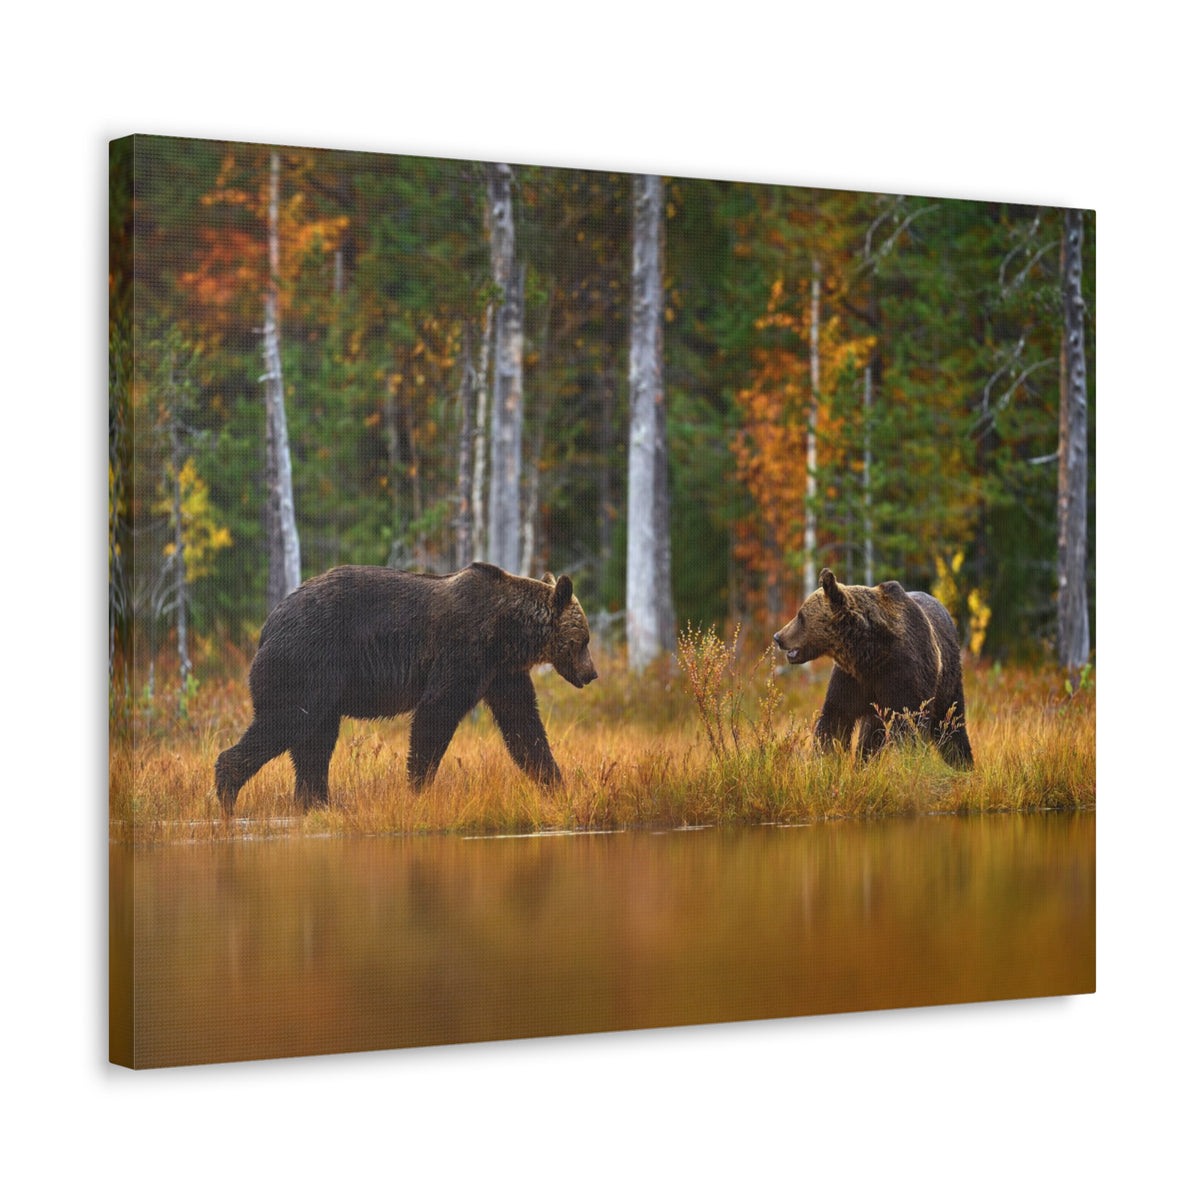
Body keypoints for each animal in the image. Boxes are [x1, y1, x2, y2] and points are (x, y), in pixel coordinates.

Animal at [215, 562, 598, 814]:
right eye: (584, 640)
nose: (592, 673)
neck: (509, 633)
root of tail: (269, 623)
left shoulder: (501, 673)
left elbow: (524, 727)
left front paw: (557, 786)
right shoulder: (464, 651)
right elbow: (435, 712)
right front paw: (417, 789)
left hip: (323, 686)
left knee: (315, 744)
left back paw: (317, 803)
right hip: (306, 661)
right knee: (286, 722)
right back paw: (228, 794)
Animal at [772, 567, 973, 767]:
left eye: (800, 616)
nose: (777, 637)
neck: (869, 654)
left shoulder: (903, 674)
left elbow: (909, 723)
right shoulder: (852, 679)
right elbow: (836, 717)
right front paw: (826, 758)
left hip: (948, 678)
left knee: (951, 719)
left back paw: (962, 762)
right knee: (871, 734)